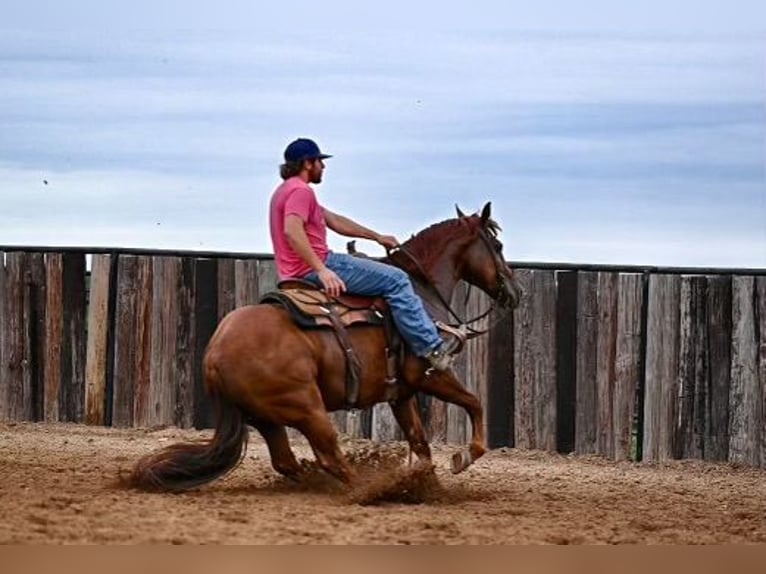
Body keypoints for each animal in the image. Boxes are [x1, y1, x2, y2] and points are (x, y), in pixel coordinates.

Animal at [130, 202, 520, 490]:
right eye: (498, 246)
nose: (515, 292)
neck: (420, 290)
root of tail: (214, 354)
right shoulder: (430, 375)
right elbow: (474, 404)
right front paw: (462, 458)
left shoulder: (401, 394)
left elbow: (420, 442)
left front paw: (428, 486)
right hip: (306, 407)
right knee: (329, 455)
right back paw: (369, 489)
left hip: (267, 416)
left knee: (287, 461)